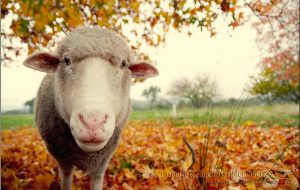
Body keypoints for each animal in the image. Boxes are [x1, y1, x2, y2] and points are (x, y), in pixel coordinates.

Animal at [23, 25, 158, 190]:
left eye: (123, 64)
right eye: (66, 60)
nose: (93, 122)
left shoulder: (103, 159)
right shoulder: (60, 155)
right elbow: (66, 177)